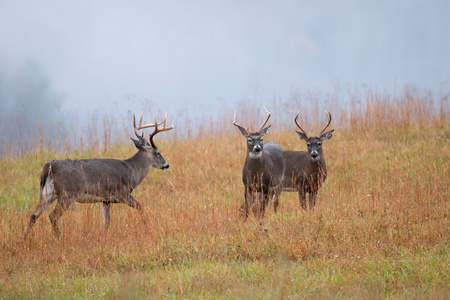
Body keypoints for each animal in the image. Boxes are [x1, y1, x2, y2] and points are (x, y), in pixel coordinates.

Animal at [24, 111, 176, 238]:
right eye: (158, 153)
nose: (167, 164)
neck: (131, 171)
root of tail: (49, 166)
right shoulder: (122, 192)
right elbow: (140, 207)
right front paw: (146, 227)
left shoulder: (105, 199)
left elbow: (106, 222)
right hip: (67, 193)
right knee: (53, 216)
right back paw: (58, 238)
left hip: (47, 192)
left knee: (34, 215)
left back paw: (25, 240)